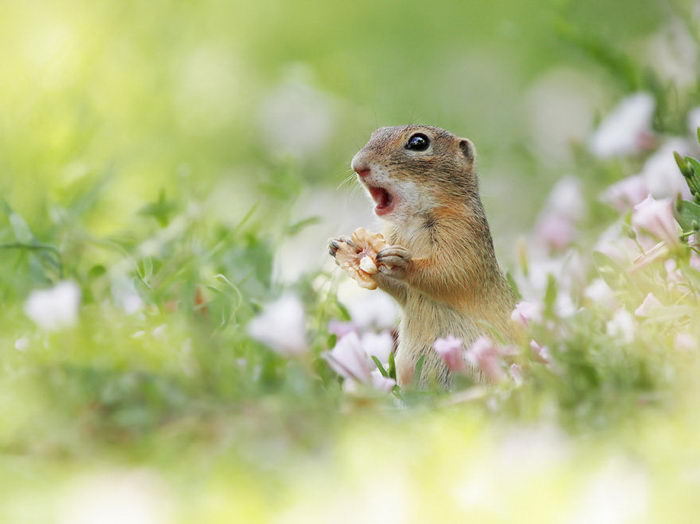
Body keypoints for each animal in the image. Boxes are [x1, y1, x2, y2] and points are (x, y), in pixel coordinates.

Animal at [328, 123, 516, 384]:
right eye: (375, 134)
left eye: (419, 142)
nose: (358, 165)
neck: (411, 221)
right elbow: (402, 291)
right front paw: (342, 247)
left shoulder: (463, 234)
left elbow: (451, 273)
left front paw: (402, 263)